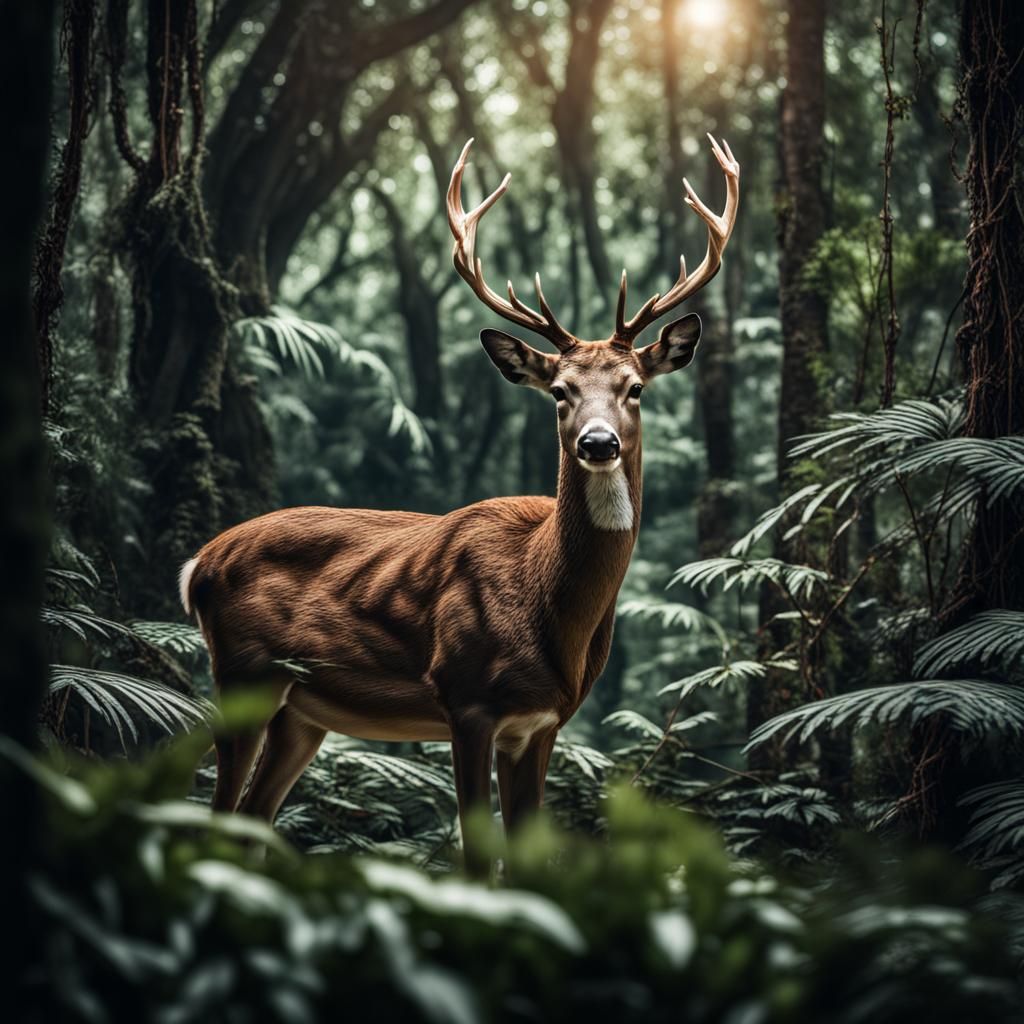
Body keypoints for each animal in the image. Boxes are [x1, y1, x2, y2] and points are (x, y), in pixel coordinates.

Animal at [180, 135, 739, 871]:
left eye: (635, 387)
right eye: (559, 390)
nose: (597, 442)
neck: (545, 600)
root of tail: (198, 565)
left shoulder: (543, 722)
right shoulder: (465, 697)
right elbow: (477, 861)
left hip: (303, 709)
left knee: (251, 819)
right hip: (243, 673)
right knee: (214, 816)